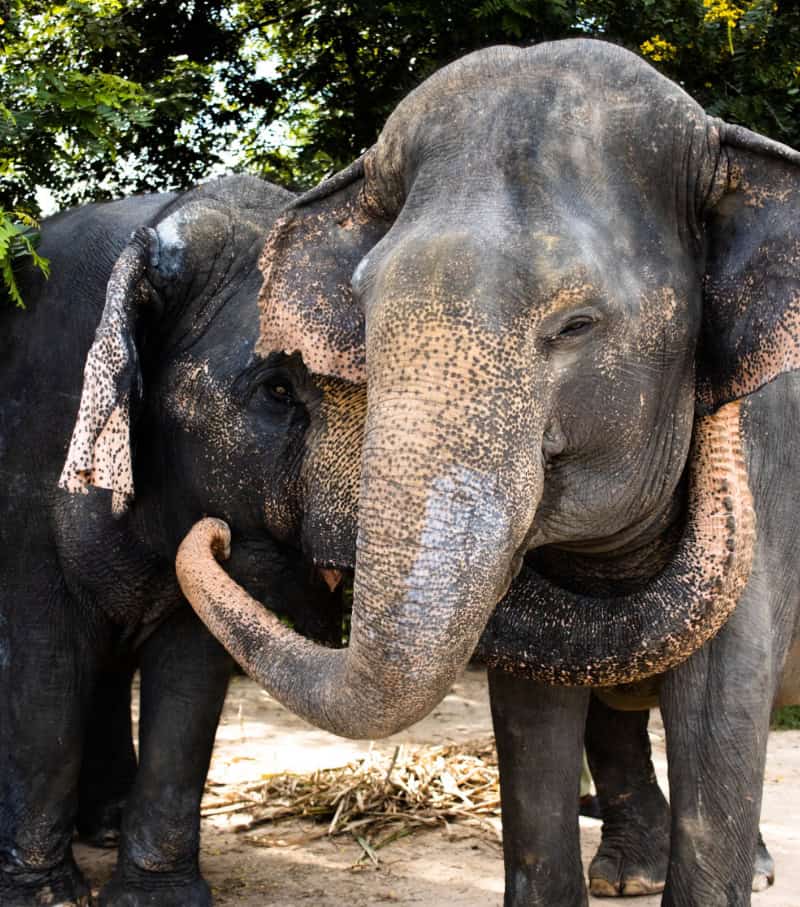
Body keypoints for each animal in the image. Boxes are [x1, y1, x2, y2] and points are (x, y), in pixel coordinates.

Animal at [0, 175, 361, 907]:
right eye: (278, 390)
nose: (218, 534)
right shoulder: (25, 459)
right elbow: (43, 661)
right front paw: (44, 897)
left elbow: (191, 670)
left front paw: (156, 897)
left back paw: (107, 827)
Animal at [176, 40, 800, 907]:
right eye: (362, 310)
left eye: (576, 325)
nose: (214, 532)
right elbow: (532, 713)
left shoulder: (771, 462)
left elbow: (722, 701)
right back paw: (628, 871)